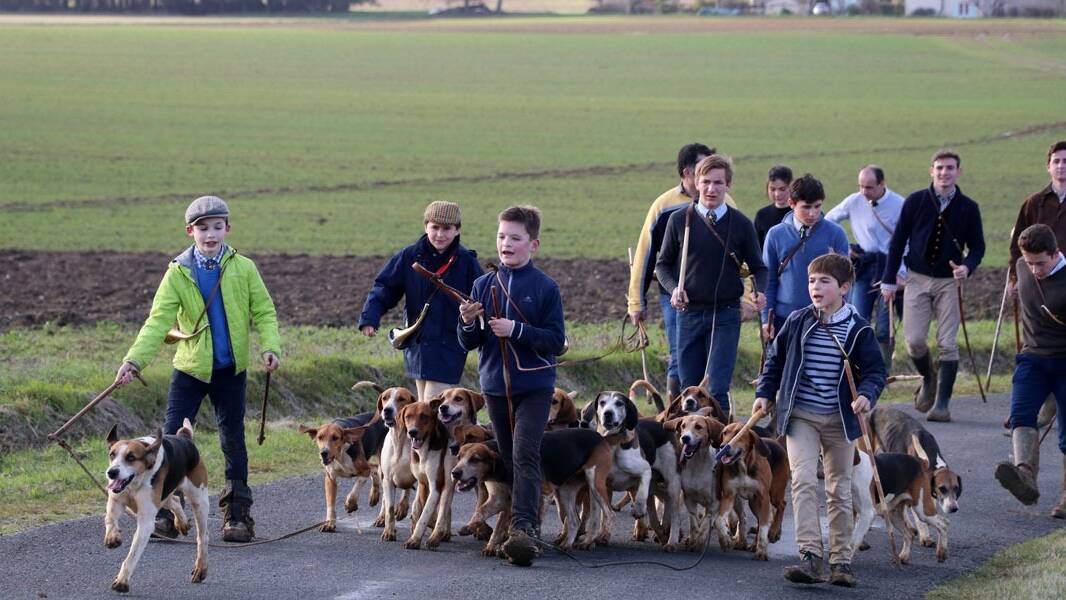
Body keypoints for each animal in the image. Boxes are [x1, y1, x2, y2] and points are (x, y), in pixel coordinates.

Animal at [103, 419, 208, 593]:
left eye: (131, 457)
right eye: (112, 455)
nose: (111, 472)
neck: (135, 483)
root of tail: (185, 438)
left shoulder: (146, 521)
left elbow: (132, 554)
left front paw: (122, 581)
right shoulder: (116, 498)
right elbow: (110, 517)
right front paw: (112, 537)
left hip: (199, 501)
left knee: (203, 537)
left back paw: (200, 568)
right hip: (164, 495)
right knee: (175, 501)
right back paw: (181, 523)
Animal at [714, 422, 789, 561]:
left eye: (738, 433)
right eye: (725, 433)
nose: (722, 447)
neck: (742, 466)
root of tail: (776, 442)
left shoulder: (764, 497)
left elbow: (764, 526)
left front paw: (762, 551)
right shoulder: (729, 495)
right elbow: (719, 520)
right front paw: (725, 540)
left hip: (774, 494)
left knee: (782, 505)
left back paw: (773, 532)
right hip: (753, 502)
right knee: (760, 520)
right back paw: (755, 544)